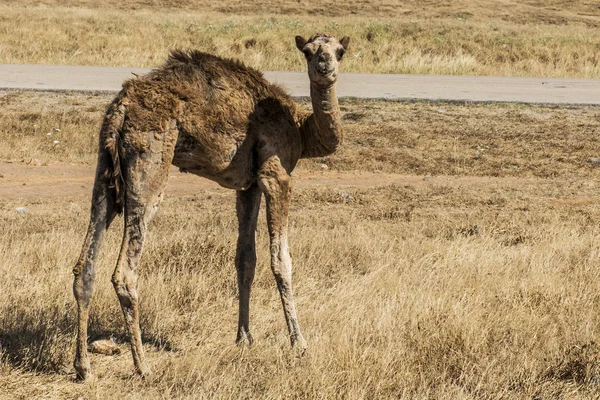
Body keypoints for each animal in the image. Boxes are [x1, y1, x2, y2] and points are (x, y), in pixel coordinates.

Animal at [72, 32, 350, 380]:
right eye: (309, 51)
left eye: (339, 51)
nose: (325, 64)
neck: (301, 128)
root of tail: (122, 107)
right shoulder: (276, 175)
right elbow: (281, 261)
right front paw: (299, 344)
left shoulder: (249, 185)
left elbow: (245, 259)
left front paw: (244, 338)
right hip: (148, 163)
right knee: (125, 271)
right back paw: (143, 366)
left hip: (105, 167)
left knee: (85, 262)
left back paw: (83, 367)